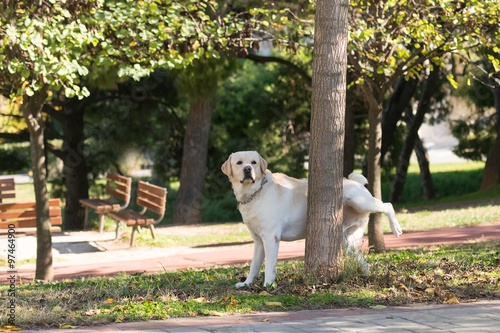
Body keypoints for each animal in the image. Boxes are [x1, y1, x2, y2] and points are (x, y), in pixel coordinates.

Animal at [223, 151, 402, 288]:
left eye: (253, 162)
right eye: (239, 163)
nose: (248, 169)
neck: (255, 193)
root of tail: (353, 180)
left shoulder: (270, 238)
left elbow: (268, 266)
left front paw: (268, 285)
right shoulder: (259, 241)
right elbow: (254, 266)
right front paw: (246, 284)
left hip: (359, 201)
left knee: (387, 205)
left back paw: (396, 228)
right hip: (347, 240)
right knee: (364, 261)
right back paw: (365, 277)